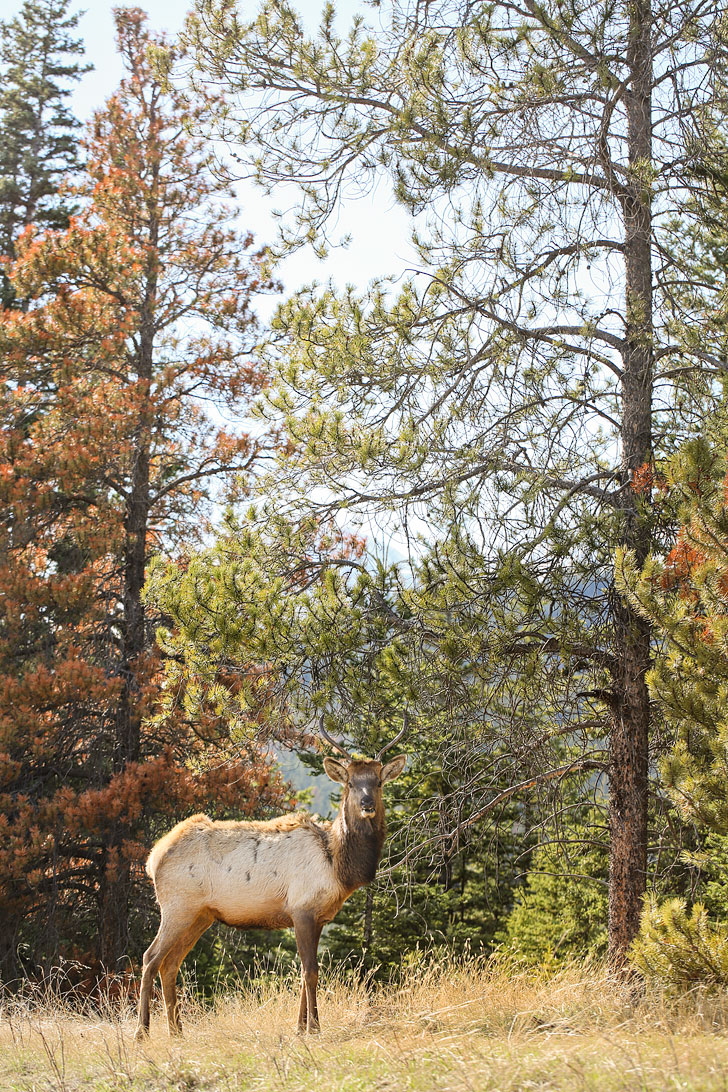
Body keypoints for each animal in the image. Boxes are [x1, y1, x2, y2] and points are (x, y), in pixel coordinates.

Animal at [135, 716, 410, 1030]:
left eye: (378, 782)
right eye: (351, 783)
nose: (367, 805)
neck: (338, 867)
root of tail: (153, 858)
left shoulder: (319, 917)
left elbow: (304, 973)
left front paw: (300, 1028)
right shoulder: (301, 909)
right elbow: (310, 971)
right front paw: (313, 1027)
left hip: (200, 915)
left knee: (170, 964)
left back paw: (177, 1031)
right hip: (177, 906)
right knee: (150, 957)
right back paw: (142, 1031)